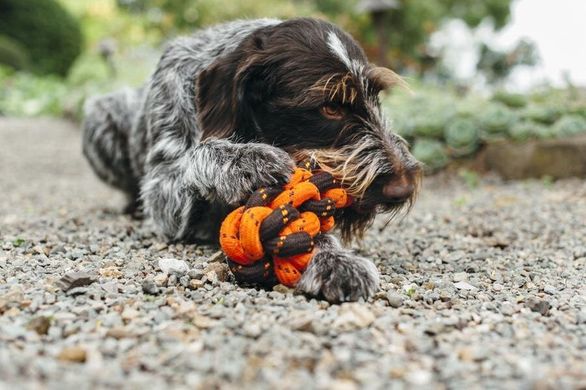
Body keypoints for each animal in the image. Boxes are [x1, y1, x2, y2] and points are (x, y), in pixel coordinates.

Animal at [82, 18, 420, 304]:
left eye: (375, 98)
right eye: (330, 108)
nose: (403, 188)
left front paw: (332, 258)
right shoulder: (162, 193)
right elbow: (197, 154)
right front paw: (248, 160)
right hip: (100, 117)